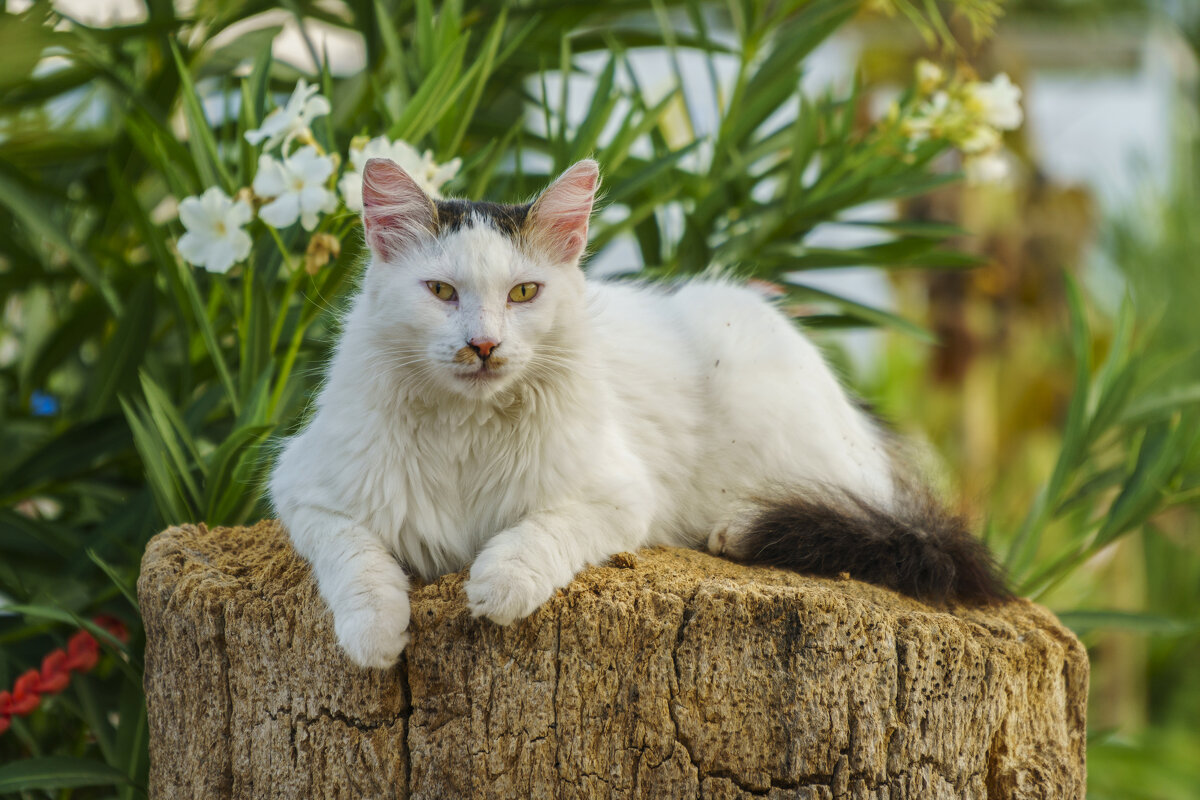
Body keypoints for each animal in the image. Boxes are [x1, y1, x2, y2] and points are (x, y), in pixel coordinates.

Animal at [267, 155, 1008, 671]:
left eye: (524, 293)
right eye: (442, 292)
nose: (483, 345)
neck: (464, 433)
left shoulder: (618, 496)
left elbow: (539, 538)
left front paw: (497, 585)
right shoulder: (305, 491)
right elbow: (357, 562)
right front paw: (374, 634)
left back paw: (738, 530)